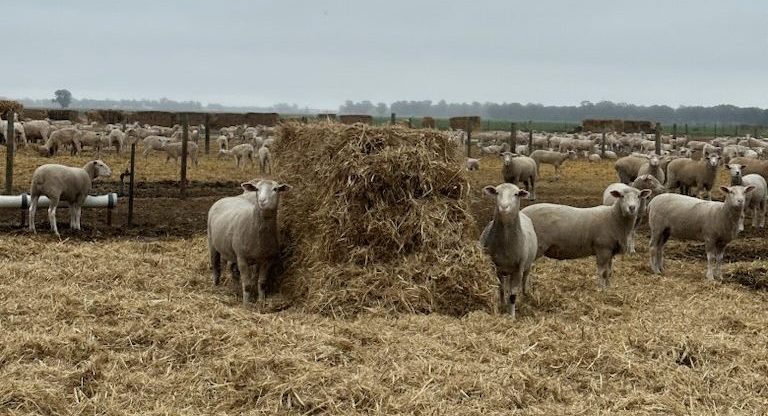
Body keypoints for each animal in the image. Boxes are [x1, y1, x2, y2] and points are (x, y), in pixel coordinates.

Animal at [476, 184, 536, 316]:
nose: (503, 207)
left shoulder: (519, 269)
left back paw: (525, 294)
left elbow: (513, 295)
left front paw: (511, 315)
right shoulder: (496, 267)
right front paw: (502, 305)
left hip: (527, 265)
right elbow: (501, 289)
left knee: (525, 279)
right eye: (497, 192)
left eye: (516, 194)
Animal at [520, 187, 652, 288]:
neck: (614, 217)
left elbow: (609, 272)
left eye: (639, 196)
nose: (632, 208)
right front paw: (601, 289)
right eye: (622, 196)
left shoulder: (610, 250)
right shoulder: (602, 248)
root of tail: (522, 212)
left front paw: (608, 288)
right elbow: (603, 272)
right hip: (536, 247)